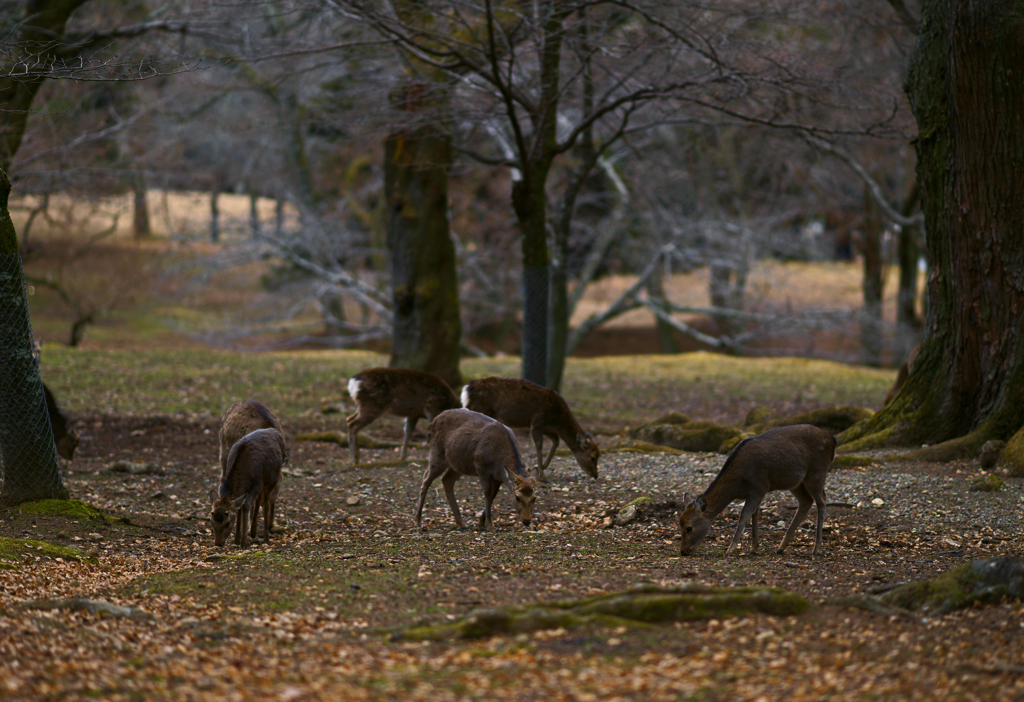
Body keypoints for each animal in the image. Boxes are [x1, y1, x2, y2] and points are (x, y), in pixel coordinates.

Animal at [458, 378, 598, 483]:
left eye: (598, 455)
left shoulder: (548, 428)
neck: (557, 420)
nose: (596, 475)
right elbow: (539, 445)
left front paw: (544, 466)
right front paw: (542, 475)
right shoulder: (537, 422)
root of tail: (467, 389)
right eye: (592, 458)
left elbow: (556, 441)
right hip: (479, 409)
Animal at [675, 423, 835, 560]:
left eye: (689, 528)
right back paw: (780, 548)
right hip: (794, 482)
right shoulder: (756, 492)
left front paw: (729, 551)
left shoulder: (759, 487)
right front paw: (753, 548)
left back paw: (816, 549)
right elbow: (755, 514)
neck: (737, 485)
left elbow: (744, 515)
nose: (683, 551)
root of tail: (832, 440)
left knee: (822, 499)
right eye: (680, 524)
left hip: (817, 472)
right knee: (806, 501)